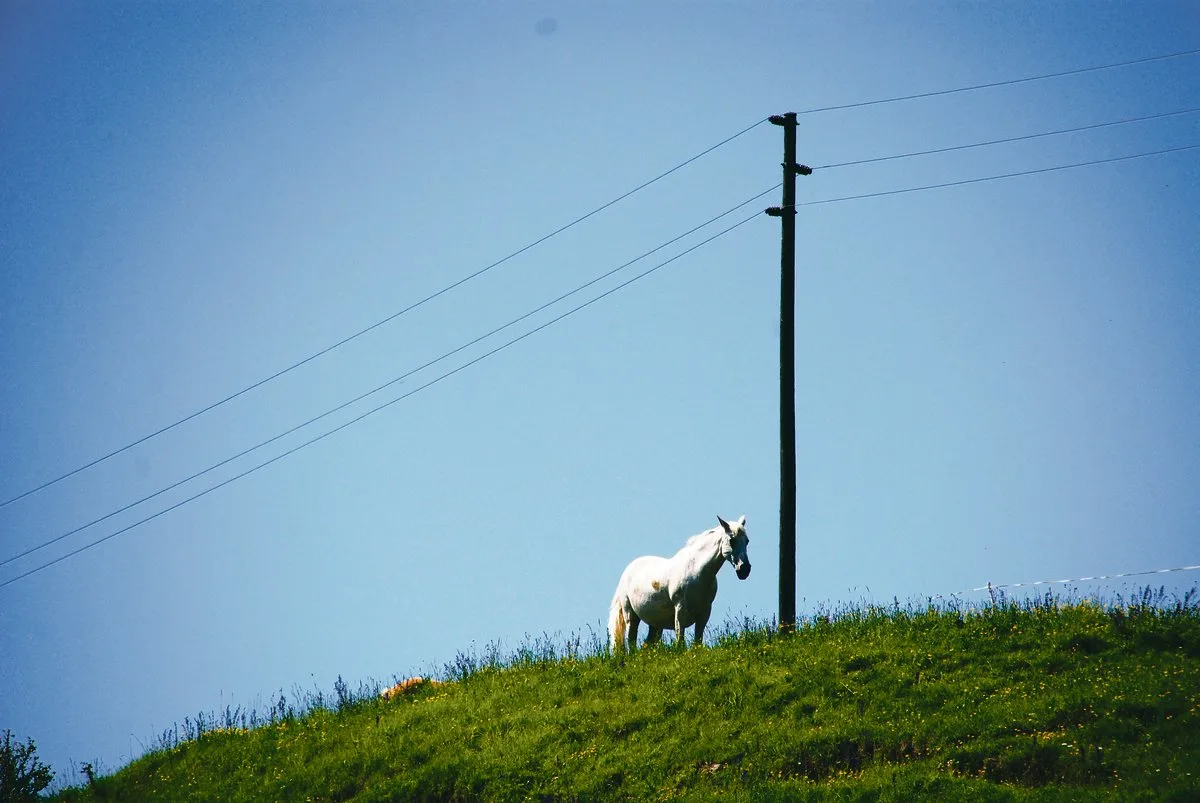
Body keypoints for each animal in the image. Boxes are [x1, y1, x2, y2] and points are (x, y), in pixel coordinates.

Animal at [608, 515, 751, 651]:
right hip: (630, 615)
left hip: (655, 625)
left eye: (747, 541)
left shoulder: (705, 611)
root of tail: (627, 571)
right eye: (732, 540)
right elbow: (680, 637)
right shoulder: (681, 608)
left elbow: (698, 639)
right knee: (631, 641)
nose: (745, 570)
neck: (697, 571)